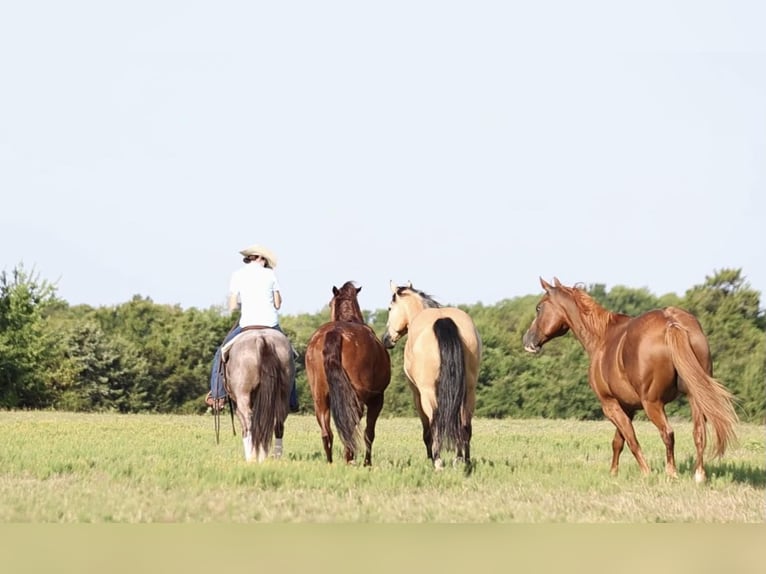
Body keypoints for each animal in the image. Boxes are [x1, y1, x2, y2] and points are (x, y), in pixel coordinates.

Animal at [224, 328, 296, 464]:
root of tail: (262, 339)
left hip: (243, 396)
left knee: (248, 422)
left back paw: (252, 456)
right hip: (283, 394)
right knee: (278, 423)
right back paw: (272, 455)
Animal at [304, 284, 392, 468]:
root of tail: (336, 332)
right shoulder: (377, 399)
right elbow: (369, 432)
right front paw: (367, 463)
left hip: (320, 397)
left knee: (327, 432)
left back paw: (331, 462)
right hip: (356, 398)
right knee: (350, 427)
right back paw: (350, 458)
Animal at [382, 282, 484, 470]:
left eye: (389, 308)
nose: (386, 339)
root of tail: (443, 321)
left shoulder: (417, 394)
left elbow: (427, 430)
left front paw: (431, 457)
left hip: (428, 393)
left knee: (435, 422)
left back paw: (438, 461)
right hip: (469, 391)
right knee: (464, 424)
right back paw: (463, 460)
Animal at [520, 276, 736, 484]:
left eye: (539, 307)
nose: (527, 341)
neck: (602, 338)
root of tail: (671, 323)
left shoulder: (610, 405)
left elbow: (631, 439)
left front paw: (646, 473)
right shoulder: (627, 406)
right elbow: (618, 441)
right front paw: (614, 472)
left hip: (653, 404)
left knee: (667, 433)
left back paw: (671, 474)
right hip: (695, 396)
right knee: (699, 433)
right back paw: (699, 475)